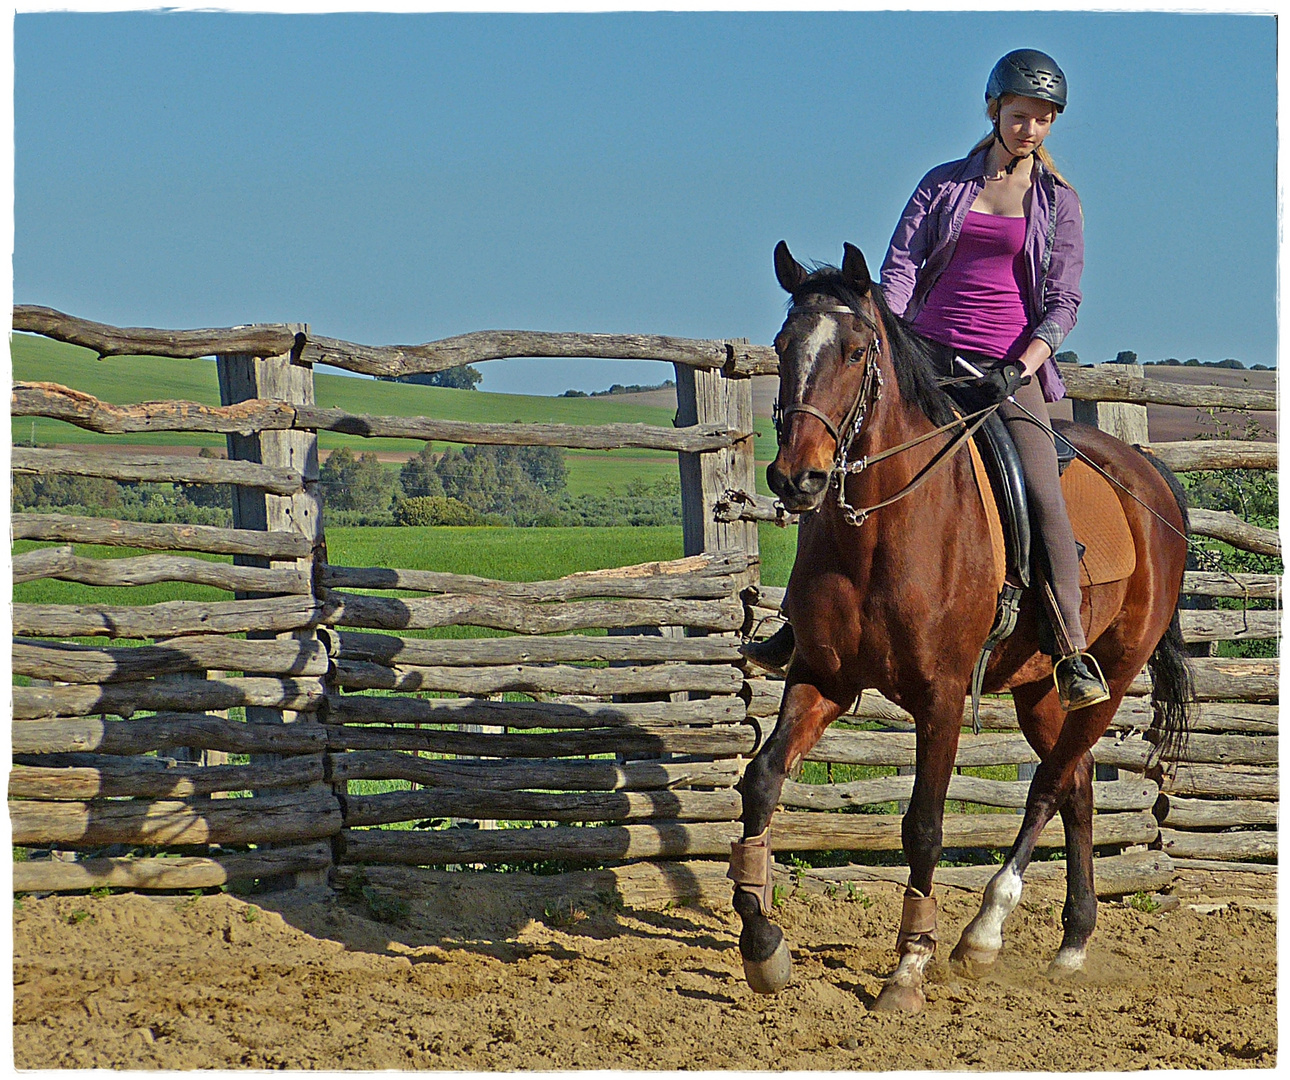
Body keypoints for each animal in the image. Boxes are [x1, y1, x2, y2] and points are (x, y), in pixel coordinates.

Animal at [732, 242, 1191, 1011]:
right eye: (782, 345)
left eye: (856, 351)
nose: (797, 479)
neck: (880, 529)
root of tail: (1150, 476)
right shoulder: (822, 677)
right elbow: (763, 781)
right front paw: (763, 945)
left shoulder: (941, 699)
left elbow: (923, 826)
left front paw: (908, 966)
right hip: (1039, 688)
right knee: (1079, 784)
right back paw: (1072, 941)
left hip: (1117, 669)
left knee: (1049, 784)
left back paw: (983, 933)